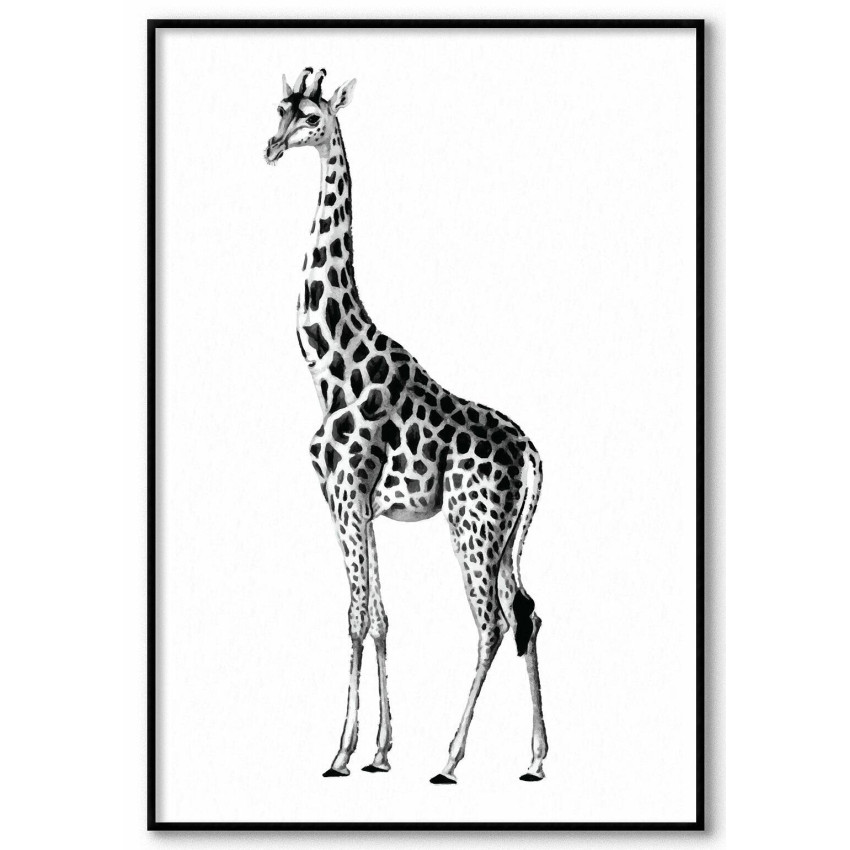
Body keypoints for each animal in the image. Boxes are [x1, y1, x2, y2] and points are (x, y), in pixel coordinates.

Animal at [265, 68, 548, 784]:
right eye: (279, 110)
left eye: (313, 118)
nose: (271, 149)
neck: (329, 366)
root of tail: (533, 455)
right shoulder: (361, 506)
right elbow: (381, 618)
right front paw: (379, 751)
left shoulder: (343, 495)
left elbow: (355, 615)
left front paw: (340, 752)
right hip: (505, 534)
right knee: (528, 613)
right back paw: (535, 759)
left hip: (472, 525)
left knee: (492, 624)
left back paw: (450, 759)